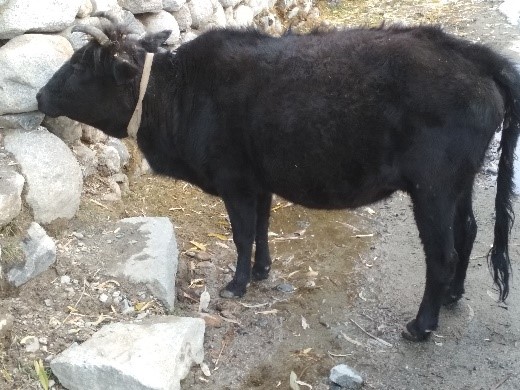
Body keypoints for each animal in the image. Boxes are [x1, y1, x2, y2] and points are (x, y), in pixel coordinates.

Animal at [37, 19, 520, 342]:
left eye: (80, 64)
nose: (40, 95)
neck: (179, 92)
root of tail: (469, 53)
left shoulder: (234, 182)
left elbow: (242, 232)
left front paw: (236, 284)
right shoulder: (259, 180)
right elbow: (262, 228)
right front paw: (262, 270)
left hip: (433, 188)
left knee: (442, 253)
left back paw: (421, 325)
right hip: (459, 183)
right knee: (469, 230)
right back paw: (454, 295)